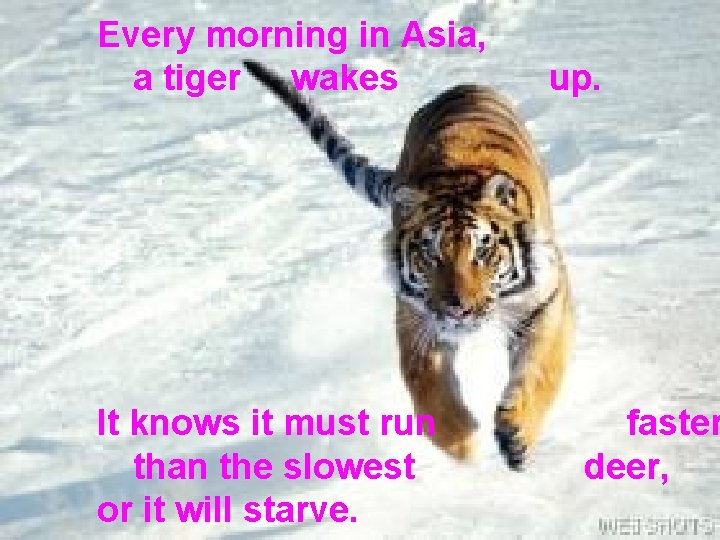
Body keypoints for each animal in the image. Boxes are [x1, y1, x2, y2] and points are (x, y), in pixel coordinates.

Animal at [243, 59, 573, 470]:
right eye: (430, 254)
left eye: (482, 251)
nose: (458, 309)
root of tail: (460, 86)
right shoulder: (415, 318)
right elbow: (427, 390)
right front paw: (463, 445)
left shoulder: (546, 302)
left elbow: (539, 370)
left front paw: (517, 436)